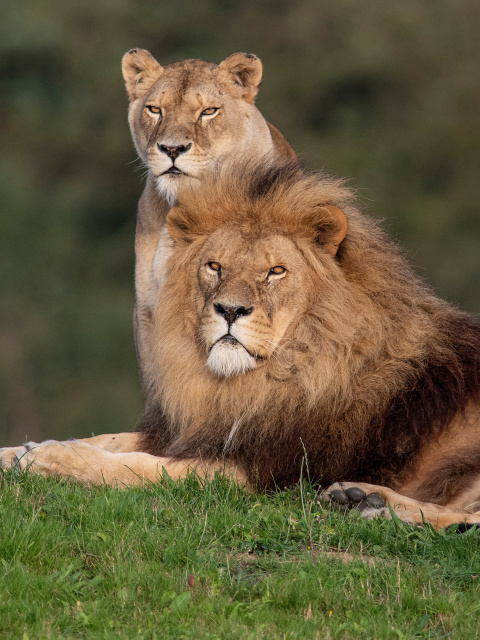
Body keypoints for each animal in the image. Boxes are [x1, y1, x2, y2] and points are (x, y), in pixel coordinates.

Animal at [2, 161, 480, 528]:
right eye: (215, 266)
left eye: (276, 271)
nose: (230, 310)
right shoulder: (201, 430)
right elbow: (112, 439)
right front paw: (18, 451)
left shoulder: (252, 470)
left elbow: (135, 465)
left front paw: (49, 459)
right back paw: (359, 498)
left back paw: (375, 508)